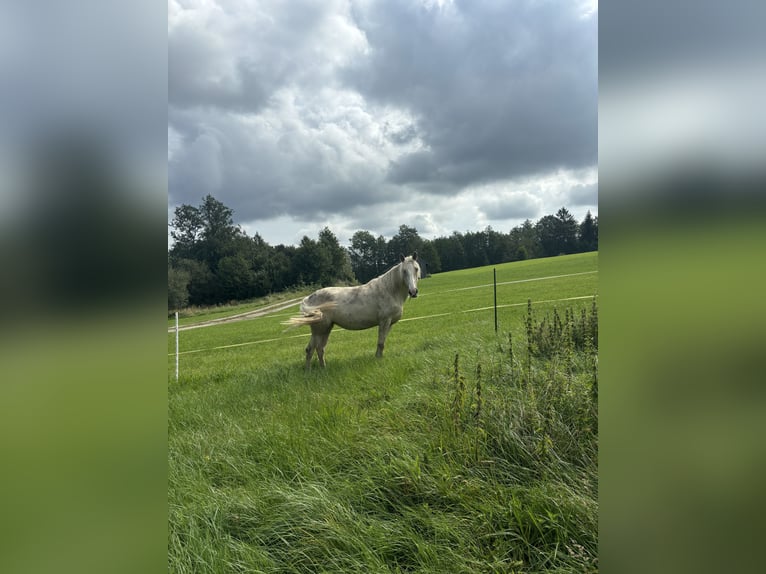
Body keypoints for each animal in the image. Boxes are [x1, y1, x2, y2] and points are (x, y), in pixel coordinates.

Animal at [284, 252, 424, 368]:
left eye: (416, 269)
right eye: (404, 271)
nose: (413, 292)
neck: (390, 290)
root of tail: (309, 298)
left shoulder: (389, 324)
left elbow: (382, 342)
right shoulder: (384, 321)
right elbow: (380, 343)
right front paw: (378, 360)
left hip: (325, 329)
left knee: (316, 349)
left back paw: (320, 369)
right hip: (320, 330)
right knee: (314, 349)